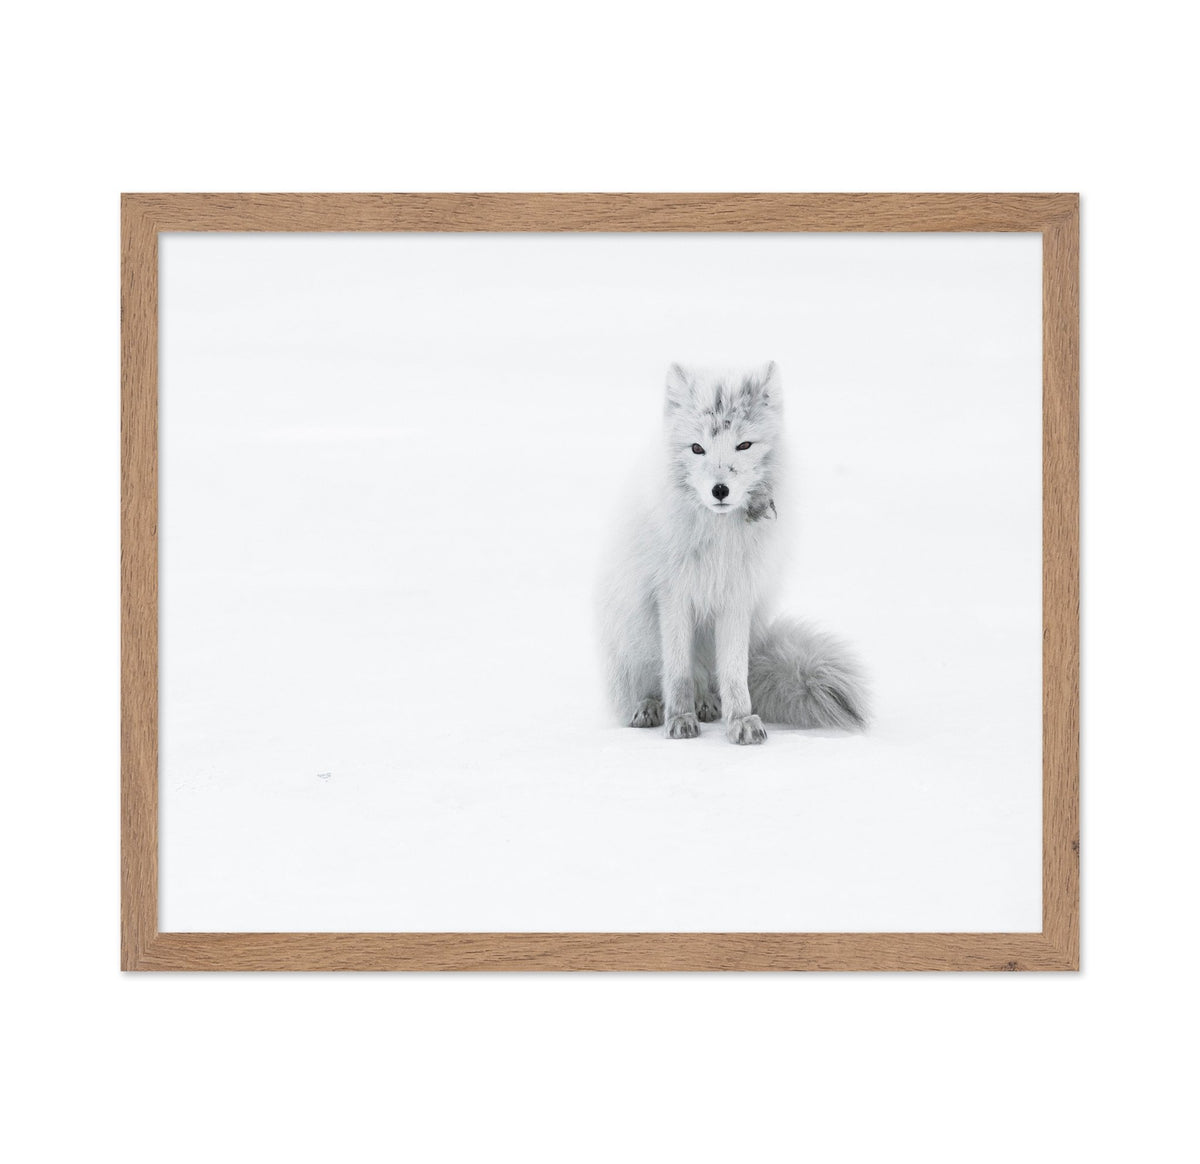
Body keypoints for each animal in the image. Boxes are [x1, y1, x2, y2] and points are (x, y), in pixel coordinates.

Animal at [598, 362, 868, 745]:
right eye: (697, 448)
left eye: (744, 445)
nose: (720, 490)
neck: (718, 540)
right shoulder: (672, 596)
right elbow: (676, 671)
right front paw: (679, 719)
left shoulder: (737, 596)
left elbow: (735, 674)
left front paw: (740, 720)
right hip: (632, 637)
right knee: (652, 683)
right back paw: (650, 708)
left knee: (710, 681)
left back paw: (707, 704)